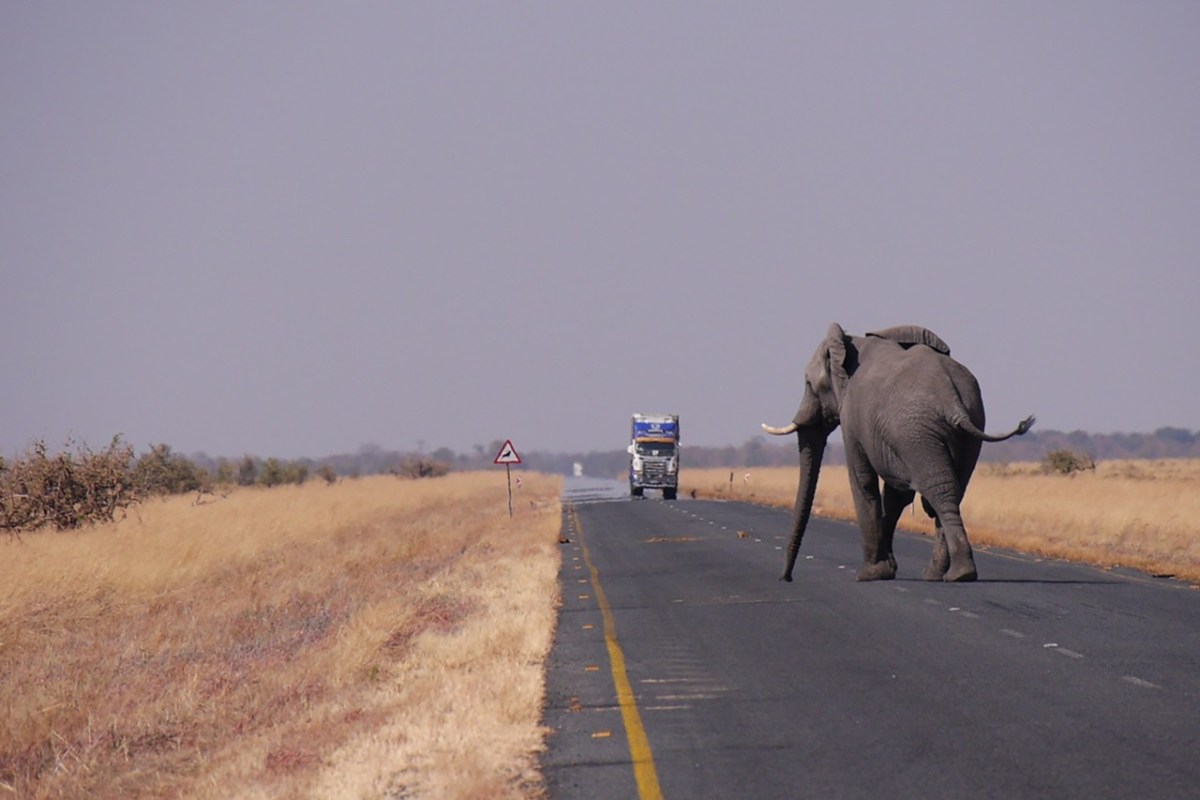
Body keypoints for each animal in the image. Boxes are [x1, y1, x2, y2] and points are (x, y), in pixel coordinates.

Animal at [762, 323, 1035, 583]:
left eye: (809, 384)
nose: (786, 578)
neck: (850, 343)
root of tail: (953, 402)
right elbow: (896, 496)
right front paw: (886, 569)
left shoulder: (852, 417)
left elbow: (863, 481)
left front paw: (869, 574)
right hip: (965, 424)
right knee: (951, 491)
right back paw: (941, 575)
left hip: (916, 432)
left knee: (938, 491)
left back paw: (956, 574)